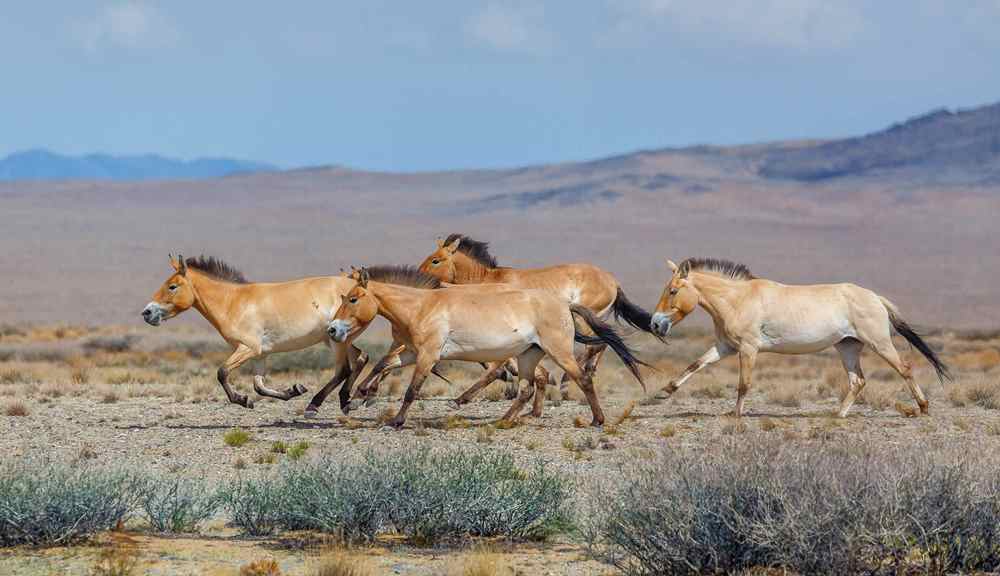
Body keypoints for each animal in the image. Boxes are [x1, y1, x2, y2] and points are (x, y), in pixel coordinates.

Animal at [143, 256, 370, 414]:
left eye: (172, 286)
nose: (147, 313)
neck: (233, 302)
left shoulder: (248, 348)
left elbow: (222, 372)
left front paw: (243, 400)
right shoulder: (260, 354)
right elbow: (259, 386)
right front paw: (294, 390)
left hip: (336, 341)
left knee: (344, 369)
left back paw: (315, 406)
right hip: (337, 339)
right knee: (361, 358)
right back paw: (347, 401)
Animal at [324, 266, 644, 428]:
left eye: (353, 298)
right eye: (342, 297)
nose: (332, 329)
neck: (422, 306)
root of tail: (565, 304)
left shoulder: (428, 356)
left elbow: (412, 389)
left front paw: (396, 421)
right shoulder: (414, 353)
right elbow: (384, 364)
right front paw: (358, 397)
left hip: (559, 352)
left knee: (583, 378)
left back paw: (597, 420)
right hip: (528, 356)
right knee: (527, 388)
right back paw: (503, 420)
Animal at [648, 258, 952, 416]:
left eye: (673, 290)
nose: (655, 323)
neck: (738, 299)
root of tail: (875, 297)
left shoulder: (748, 349)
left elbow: (743, 384)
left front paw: (736, 414)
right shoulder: (726, 347)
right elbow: (696, 364)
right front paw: (663, 392)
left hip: (879, 343)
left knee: (904, 368)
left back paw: (923, 407)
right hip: (847, 347)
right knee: (858, 381)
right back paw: (837, 415)